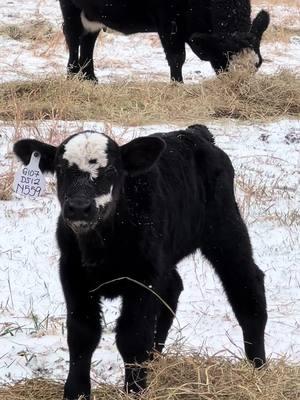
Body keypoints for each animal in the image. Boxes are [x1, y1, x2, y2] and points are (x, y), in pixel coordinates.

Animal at [13, 123, 268, 398]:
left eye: (112, 170)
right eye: (60, 169)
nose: (79, 207)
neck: (102, 246)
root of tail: (195, 133)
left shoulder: (143, 278)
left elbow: (133, 337)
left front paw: (134, 389)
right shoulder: (72, 273)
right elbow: (82, 333)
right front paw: (76, 391)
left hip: (224, 229)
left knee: (246, 287)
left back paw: (259, 369)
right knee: (173, 288)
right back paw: (155, 358)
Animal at [58, 0, 270, 81]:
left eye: (258, 64)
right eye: (224, 61)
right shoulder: (168, 22)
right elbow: (177, 57)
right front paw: (177, 85)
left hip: (93, 13)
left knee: (88, 40)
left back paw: (90, 78)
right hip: (70, 7)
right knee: (72, 37)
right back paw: (72, 75)